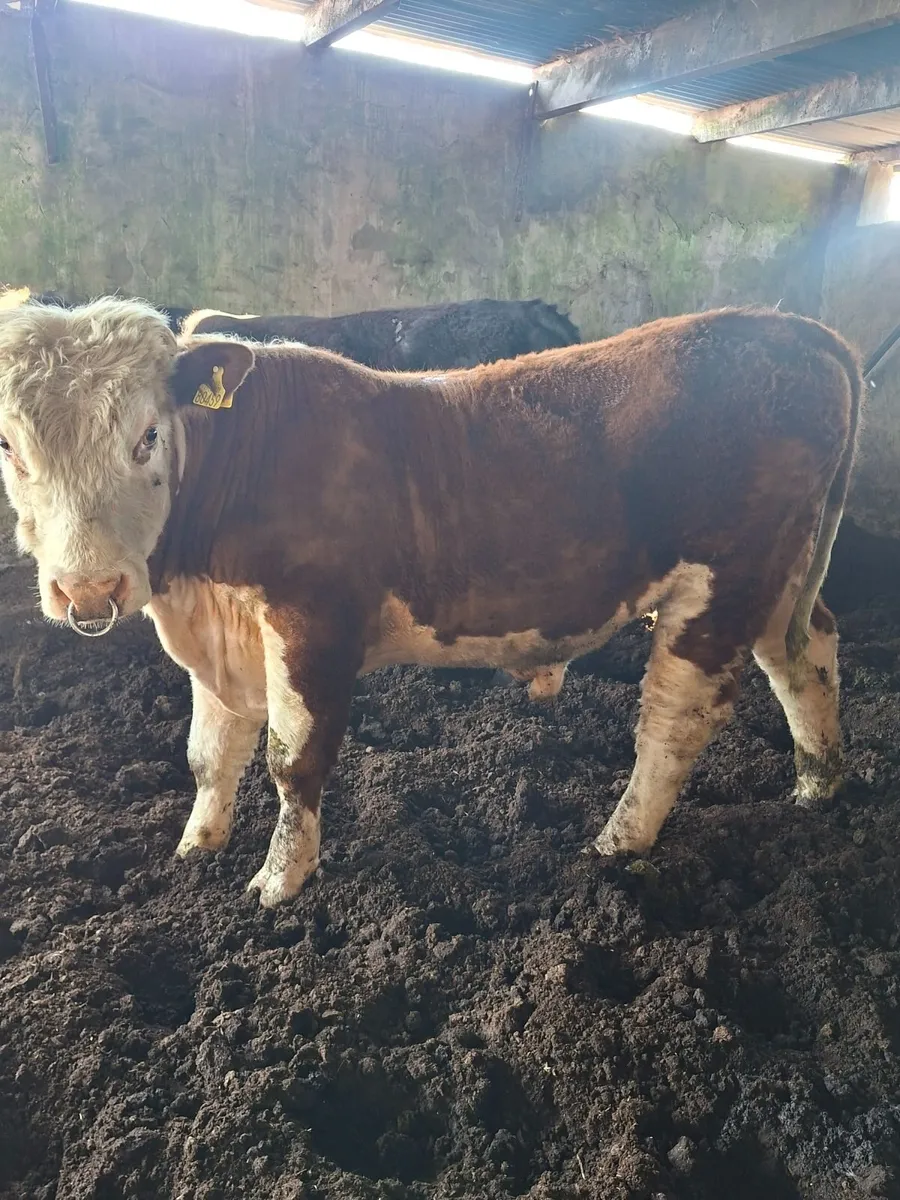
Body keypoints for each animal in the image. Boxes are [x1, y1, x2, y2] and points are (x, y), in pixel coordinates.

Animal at [0, 298, 860, 907]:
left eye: (147, 436)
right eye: (9, 446)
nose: (89, 588)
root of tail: (795, 330)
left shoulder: (314, 625)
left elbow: (291, 760)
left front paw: (279, 883)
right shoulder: (222, 637)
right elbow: (209, 755)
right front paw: (195, 850)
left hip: (723, 582)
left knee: (675, 721)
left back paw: (617, 844)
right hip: (780, 573)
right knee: (805, 654)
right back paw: (817, 784)